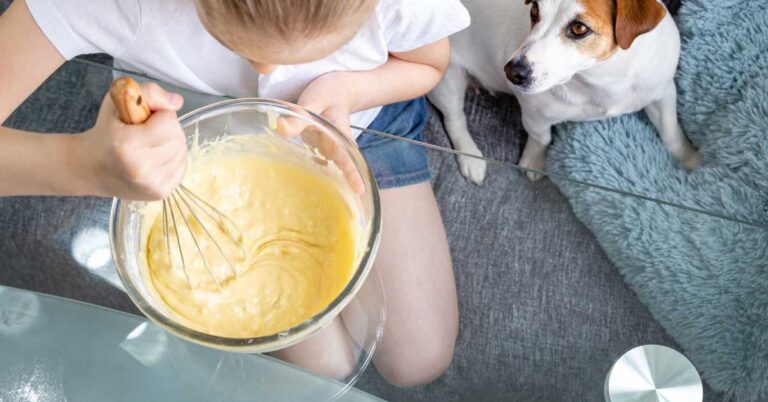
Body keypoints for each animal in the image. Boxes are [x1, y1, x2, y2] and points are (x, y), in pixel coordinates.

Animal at [428, 0, 700, 184]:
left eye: (579, 28)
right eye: (534, 11)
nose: (511, 72)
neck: (606, 78)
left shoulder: (663, 92)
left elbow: (671, 133)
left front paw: (690, 159)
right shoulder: (535, 114)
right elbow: (541, 139)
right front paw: (534, 162)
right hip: (447, 80)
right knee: (455, 121)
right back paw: (471, 157)